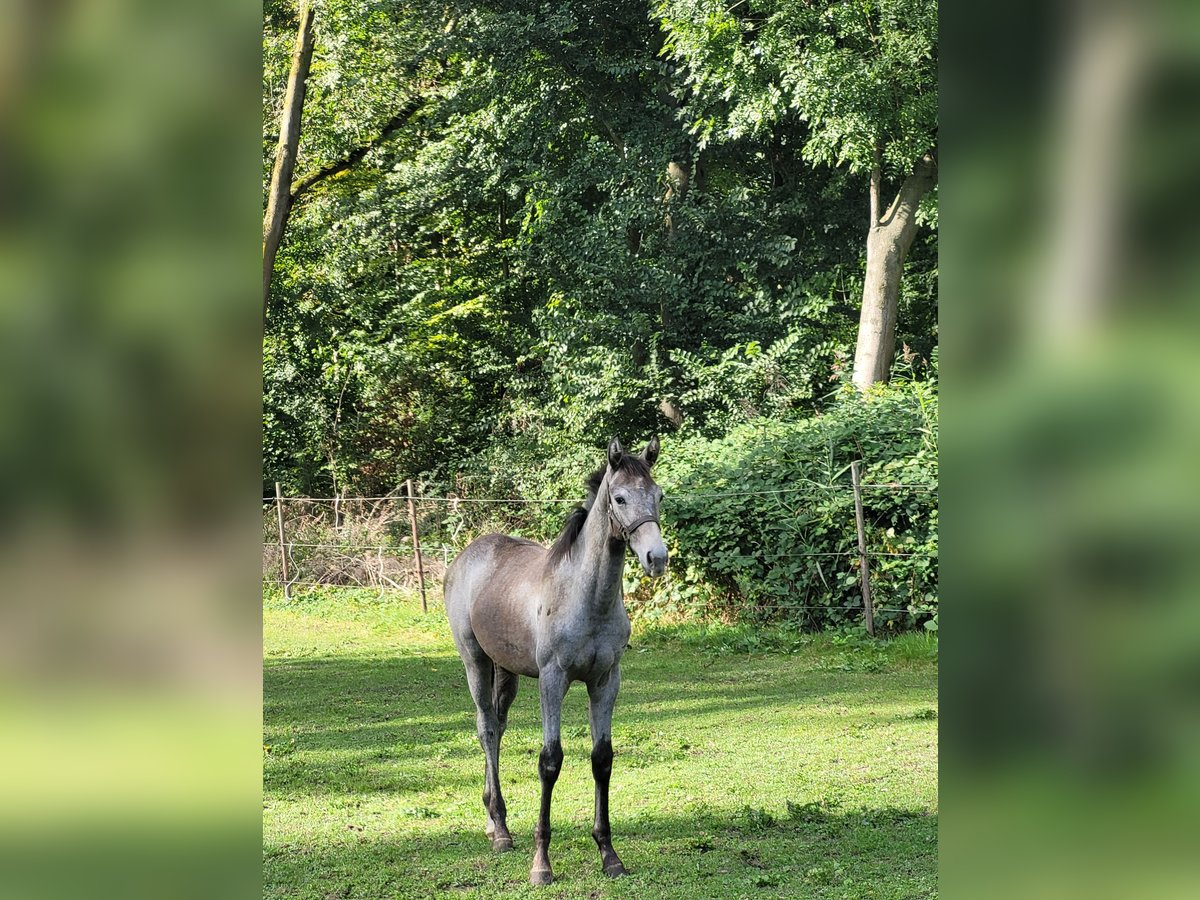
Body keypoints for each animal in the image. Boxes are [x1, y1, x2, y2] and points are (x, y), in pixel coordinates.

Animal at [444, 439, 672, 888]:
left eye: (657, 496)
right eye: (620, 498)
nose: (656, 557)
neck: (585, 598)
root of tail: (467, 555)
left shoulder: (606, 680)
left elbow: (602, 759)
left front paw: (609, 854)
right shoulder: (553, 679)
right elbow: (550, 762)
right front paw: (542, 864)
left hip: (507, 671)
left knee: (497, 727)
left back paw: (492, 820)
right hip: (475, 661)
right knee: (486, 729)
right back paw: (501, 830)